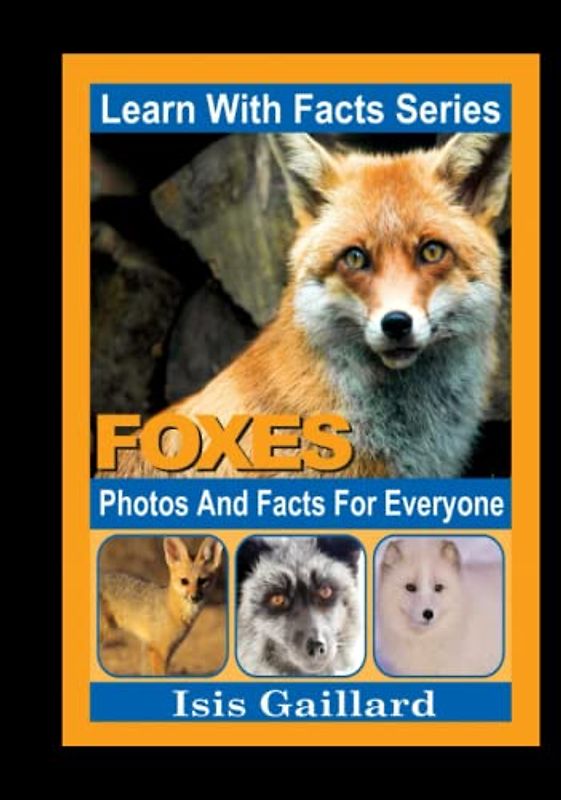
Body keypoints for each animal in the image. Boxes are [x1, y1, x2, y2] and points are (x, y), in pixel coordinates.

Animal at [100, 536, 223, 675]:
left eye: (202, 581)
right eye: (184, 581)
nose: (194, 597)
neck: (172, 610)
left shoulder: (162, 648)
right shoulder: (158, 650)